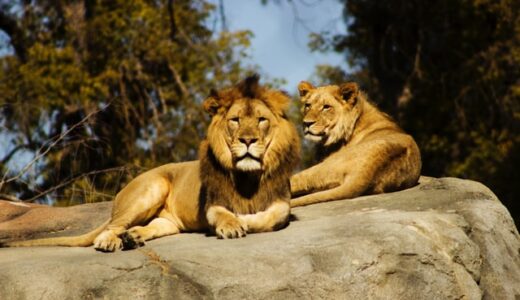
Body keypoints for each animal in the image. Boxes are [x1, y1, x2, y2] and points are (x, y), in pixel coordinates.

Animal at [2, 75, 298, 251]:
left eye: (261, 120)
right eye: (235, 120)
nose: (248, 140)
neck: (249, 175)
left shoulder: (281, 201)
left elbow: (272, 216)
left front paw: (246, 219)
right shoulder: (213, 203)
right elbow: (224, 213)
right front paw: (234, 224)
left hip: (168, 221)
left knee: (152, 226)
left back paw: (133, 237)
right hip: (151, 189)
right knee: (110, 228)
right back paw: (111, 241)